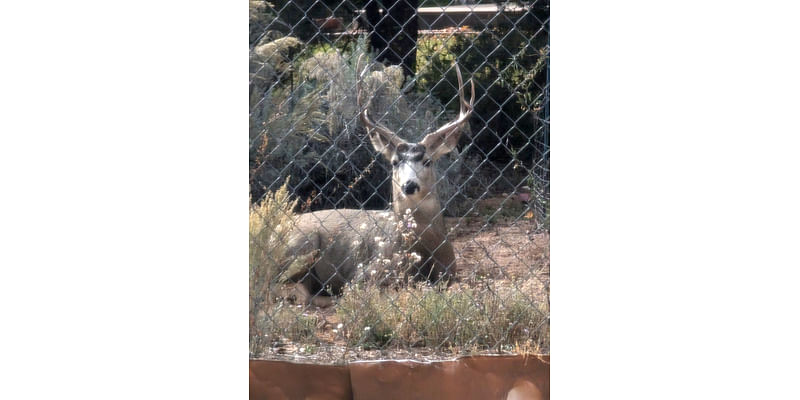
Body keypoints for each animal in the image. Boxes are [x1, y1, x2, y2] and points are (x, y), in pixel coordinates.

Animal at [278, 55, 472, 306]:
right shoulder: (365, 272)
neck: (425, 251)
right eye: (395, 162)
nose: (409, 185)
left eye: (427, 161)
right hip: (301, 245)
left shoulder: (450, 273)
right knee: (290, 290)